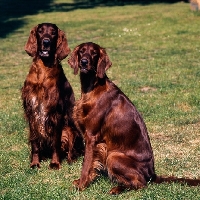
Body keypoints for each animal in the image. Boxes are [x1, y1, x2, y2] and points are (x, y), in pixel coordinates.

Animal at [67, 41, 200, 194]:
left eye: (94, 53)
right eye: (82, 51)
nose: (84, 62)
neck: (93, 87)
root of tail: (152, 174)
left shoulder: (91, 136)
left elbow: (86, 164)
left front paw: (82, 185)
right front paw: (82, 182)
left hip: (114, 156)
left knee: (141, 184)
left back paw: (117, 189)